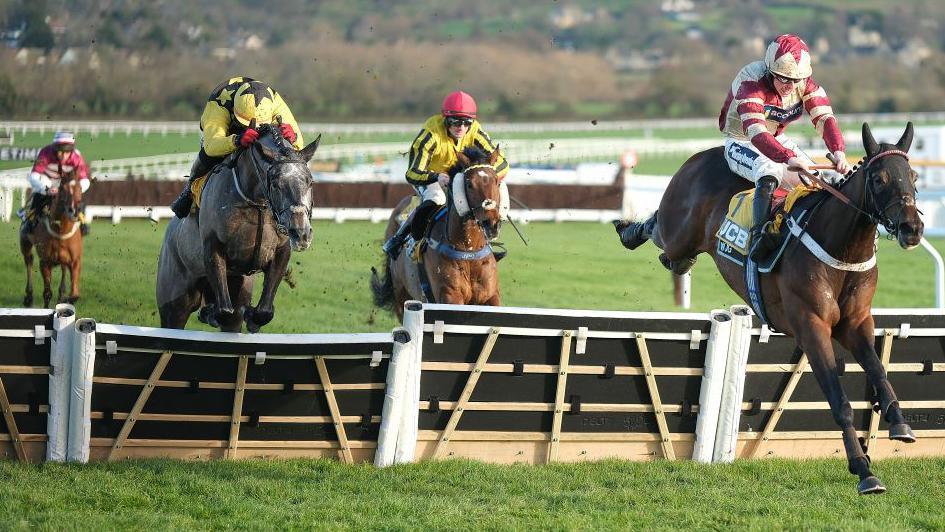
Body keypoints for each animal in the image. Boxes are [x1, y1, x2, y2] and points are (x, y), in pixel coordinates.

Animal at [19, 171, 84, 308]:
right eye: (63, 189)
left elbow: (74, 295)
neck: (60, 230)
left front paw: (64, 300)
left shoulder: (75, 261)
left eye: (80, 188)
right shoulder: (45, 262)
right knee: (29, 261)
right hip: (25, 244)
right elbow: (47, 292)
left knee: (63, 271)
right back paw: (29, 296)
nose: (74, 211)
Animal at [153, 124, 318, 332]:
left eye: (310, 181)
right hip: (174, 303)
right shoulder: (213, 246)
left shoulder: (281, 250)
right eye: (275, 183)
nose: (300, 233)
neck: (256, 203)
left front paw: (253, 318)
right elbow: (224, 311)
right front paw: (211, 313)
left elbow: (263, 312)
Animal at [368, 144, 502, 320]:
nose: (491, 224)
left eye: (497, 182)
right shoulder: (450, 297)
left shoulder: (490, 296)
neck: (468, 249)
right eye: (469, 184)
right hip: (402, 297)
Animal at [612, 123, 920, 494]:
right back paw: (629, 230)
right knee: (663, 230)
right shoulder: (811, 326)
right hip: (679, 233)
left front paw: (899, 422)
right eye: (879, 179)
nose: (913, 228)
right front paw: (863, 470)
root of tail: (702, 155)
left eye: (914, 176)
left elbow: (879, 371)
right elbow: (840, 402)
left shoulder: (857, 322)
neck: (840, 249)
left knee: (671, 255)